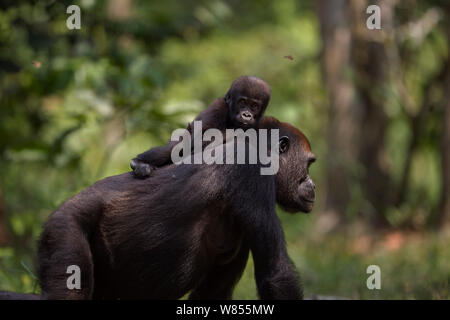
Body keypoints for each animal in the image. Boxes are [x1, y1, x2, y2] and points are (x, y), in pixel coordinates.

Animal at [130, 76, 270, 179]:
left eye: (254, 106)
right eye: (242, 102)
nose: (246, 115)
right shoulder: (218, 107)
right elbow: (200, 140)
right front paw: (241, 134)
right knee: (176, 146)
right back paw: (139, 162)